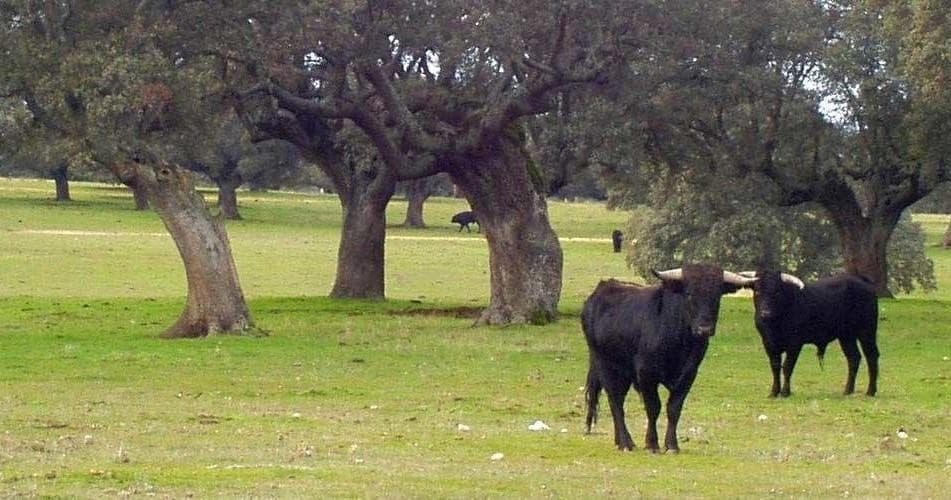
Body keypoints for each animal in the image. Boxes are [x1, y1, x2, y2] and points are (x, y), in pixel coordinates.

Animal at [582, 264, 757, 452]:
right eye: (689, 293)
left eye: (716, 295)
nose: (704, 329)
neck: (679, 342)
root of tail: (602, 289)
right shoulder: (646, 374)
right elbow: (653, 407)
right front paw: (652, 443)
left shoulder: (689, 374)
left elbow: (674, 408)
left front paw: (672, 444)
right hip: (605, 366)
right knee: (615, 401)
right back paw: (626, 443)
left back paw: (620, 441)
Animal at [742, 270, 879, 398]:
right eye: (757, 291)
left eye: (777, 292)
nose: (765, 314)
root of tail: (860, 279)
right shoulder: (768, 344)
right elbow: (775, 367)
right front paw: (774, 392)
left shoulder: (795, 343)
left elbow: (787, 367)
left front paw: (785, 392)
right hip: (846, 336)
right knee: (854, 358)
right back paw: (847, 391)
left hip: (867, 330)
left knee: (871, 356)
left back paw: (870, 391)